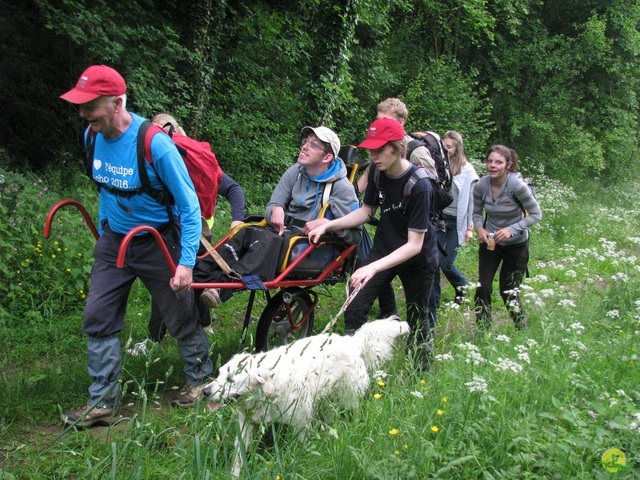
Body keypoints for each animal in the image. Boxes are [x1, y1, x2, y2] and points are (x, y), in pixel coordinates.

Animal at [202, 316, 408, 476]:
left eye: (230, 379)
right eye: (218, 374)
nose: (205, 392)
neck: (267, 390)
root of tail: (350, 341)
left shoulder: (300, 421)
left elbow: (299, 445)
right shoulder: (245, 425)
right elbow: (239, 456)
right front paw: (234, 474)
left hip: (348, 397)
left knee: (354, 412)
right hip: (327, 401)